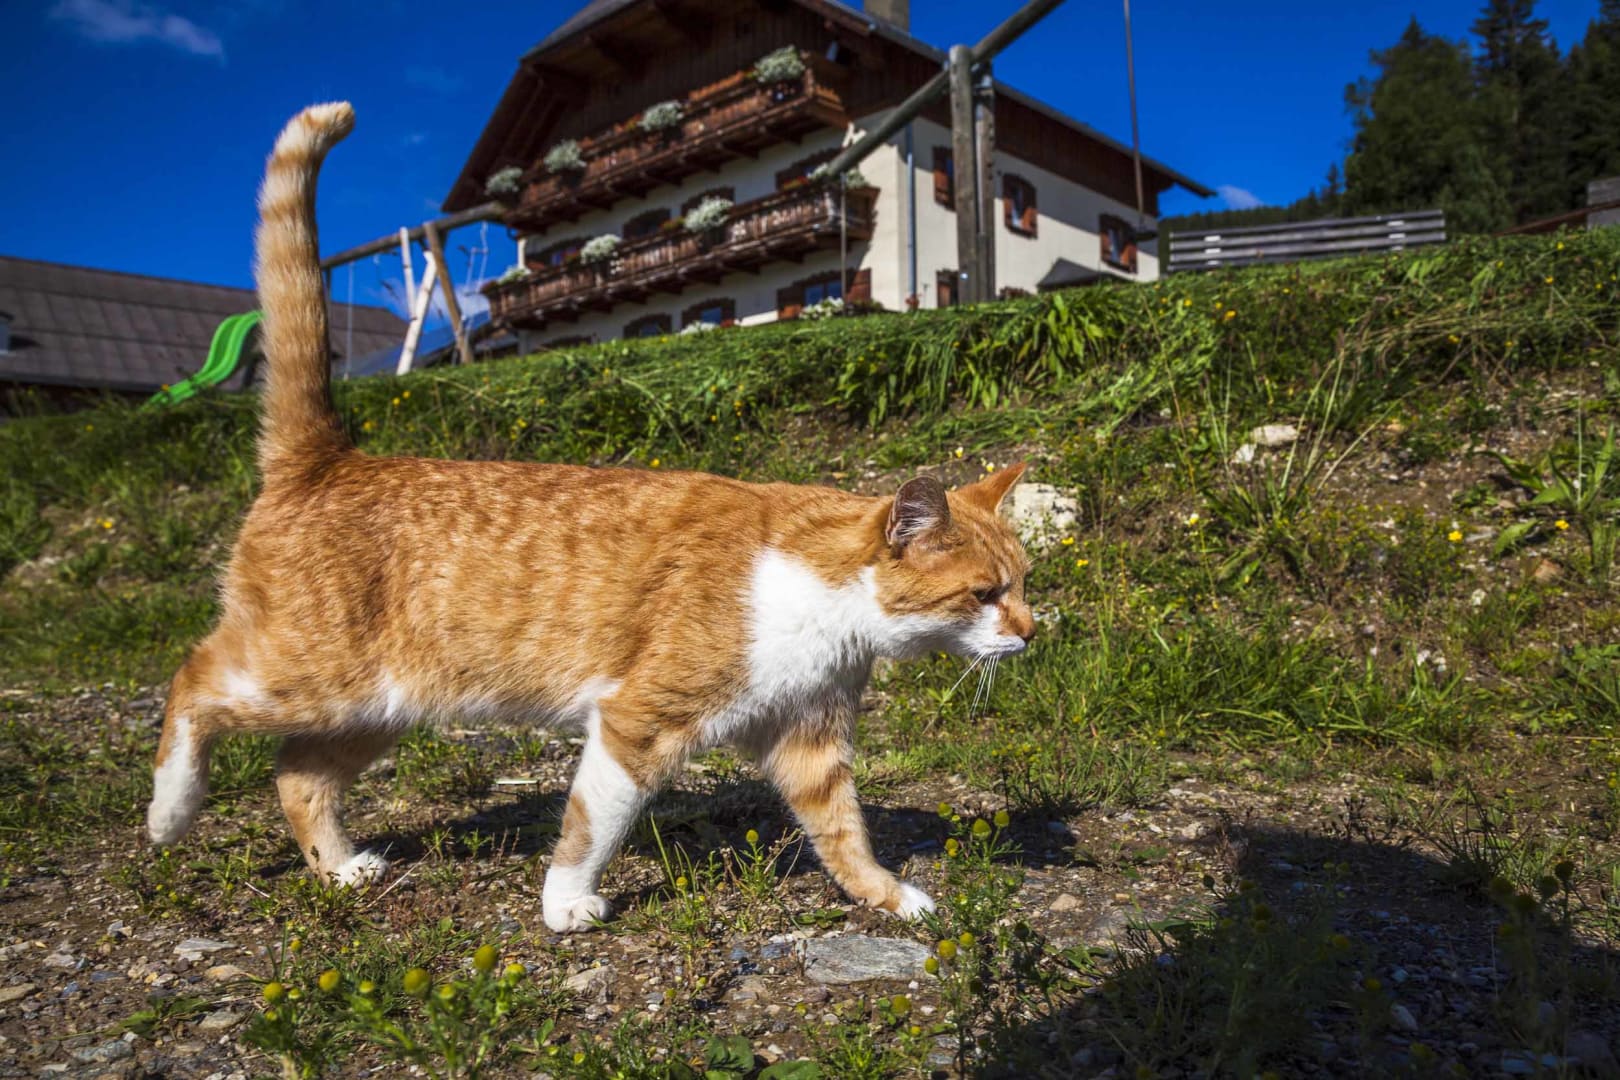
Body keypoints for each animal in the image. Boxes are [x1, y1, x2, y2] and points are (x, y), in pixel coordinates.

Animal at [145, 102, 1035, 932]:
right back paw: (169, 811)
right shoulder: (636, 722)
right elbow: (593, 825)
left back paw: (338, 868)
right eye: (984, 594)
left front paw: (890, 897)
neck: (823, 602)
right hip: (304, 673)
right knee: (192, 681)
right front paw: (566, 903)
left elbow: (845, 836)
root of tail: (333, 457)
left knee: (297, 775)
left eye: (1023, 584)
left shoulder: (808, 742)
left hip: (378, 706)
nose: (1033, 631)